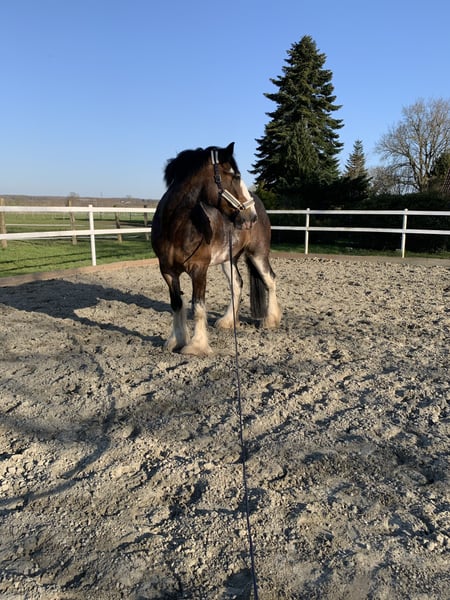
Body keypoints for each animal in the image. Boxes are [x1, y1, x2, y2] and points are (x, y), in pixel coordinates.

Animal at [151, 142, 281, 356]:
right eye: (235, 176)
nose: (251, 216)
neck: (175, 227)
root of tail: (260, 205)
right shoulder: (167, 271)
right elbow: (177, 304)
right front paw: (176, 341)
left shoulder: (199, 269)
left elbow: (198, 307)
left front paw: (196, 346)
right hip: (228, 259)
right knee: (237, 284)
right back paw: (228, 322)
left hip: (258, 254)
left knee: (269, 280)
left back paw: (270, 320)